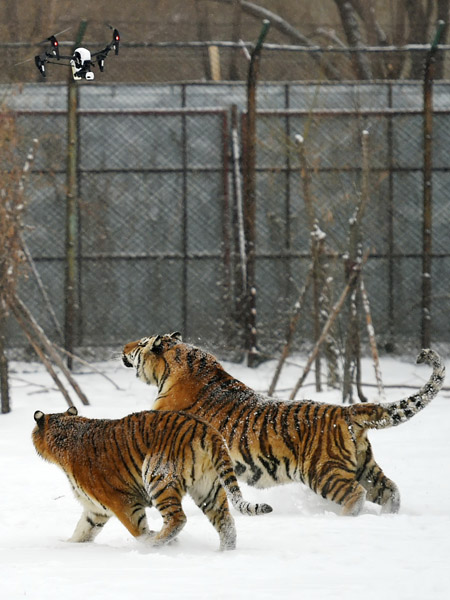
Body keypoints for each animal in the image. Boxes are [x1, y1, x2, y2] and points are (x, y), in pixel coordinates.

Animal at [32, 406, 270, 552]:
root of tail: (206, 428)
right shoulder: (95, 509)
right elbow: (82, 531)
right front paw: (68, 546)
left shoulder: (122, 501)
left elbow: (138, 530)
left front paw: (150, 541)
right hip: (209, 487)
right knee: (226, 522)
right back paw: (224, 554)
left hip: (158, 477)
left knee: (177, 519)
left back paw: (156, 543)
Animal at [121, 332, 444, 516]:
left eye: (140, 344)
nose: (123, 347)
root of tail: (346, 410)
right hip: (365, 468)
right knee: (391, 491)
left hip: (324, 472)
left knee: (355, 495)